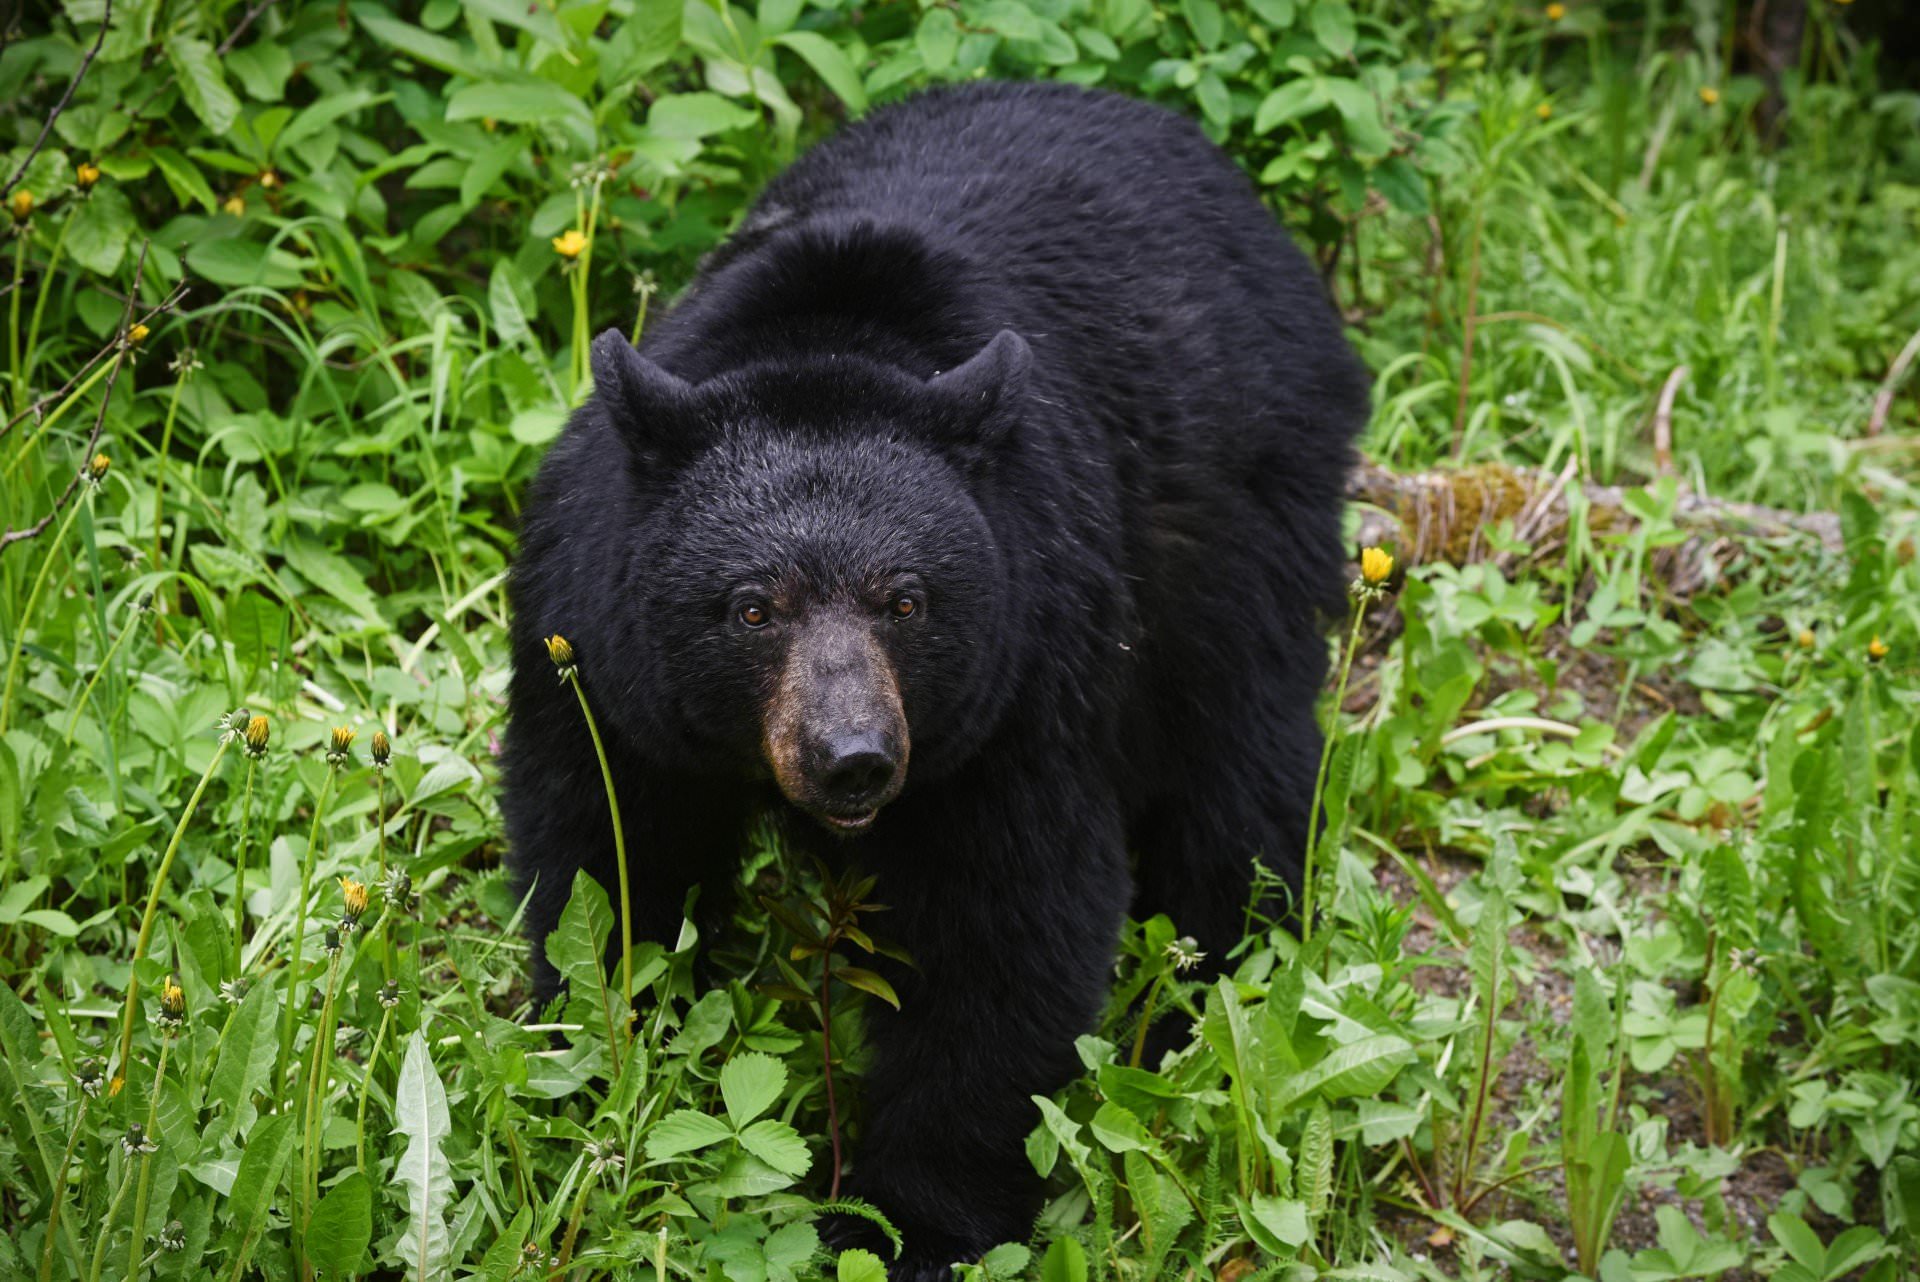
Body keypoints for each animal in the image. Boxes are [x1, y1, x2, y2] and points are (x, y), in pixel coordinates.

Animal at [510, 82, 1374, 1282]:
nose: (853, 759)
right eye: (751, 606)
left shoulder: (1026, 671)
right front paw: (598, 1078)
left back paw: (1215, 985)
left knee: (1239, 758)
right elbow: (609, 856)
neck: (825, 345)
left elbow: (1005, 927)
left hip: (1236, 516)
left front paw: (912, 1224)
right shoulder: (596, 643)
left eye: (907, 600)